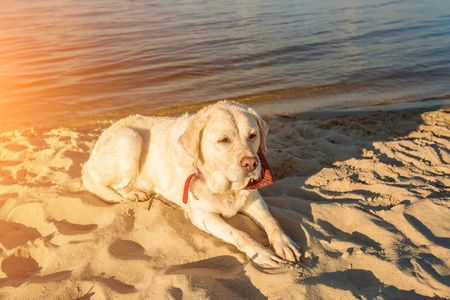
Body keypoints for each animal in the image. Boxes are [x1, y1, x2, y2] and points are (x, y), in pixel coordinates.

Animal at [83, 101, 302, 268]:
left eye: (253, 136)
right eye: (224, 140)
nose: (251, 163)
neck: (223, 185)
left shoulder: (253, 198)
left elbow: (271, 221)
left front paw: (284, 243)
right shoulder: (202, 215)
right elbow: (239, 233)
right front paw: (262, 253)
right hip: (129, 140)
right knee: (91, 177)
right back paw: (129, 194)